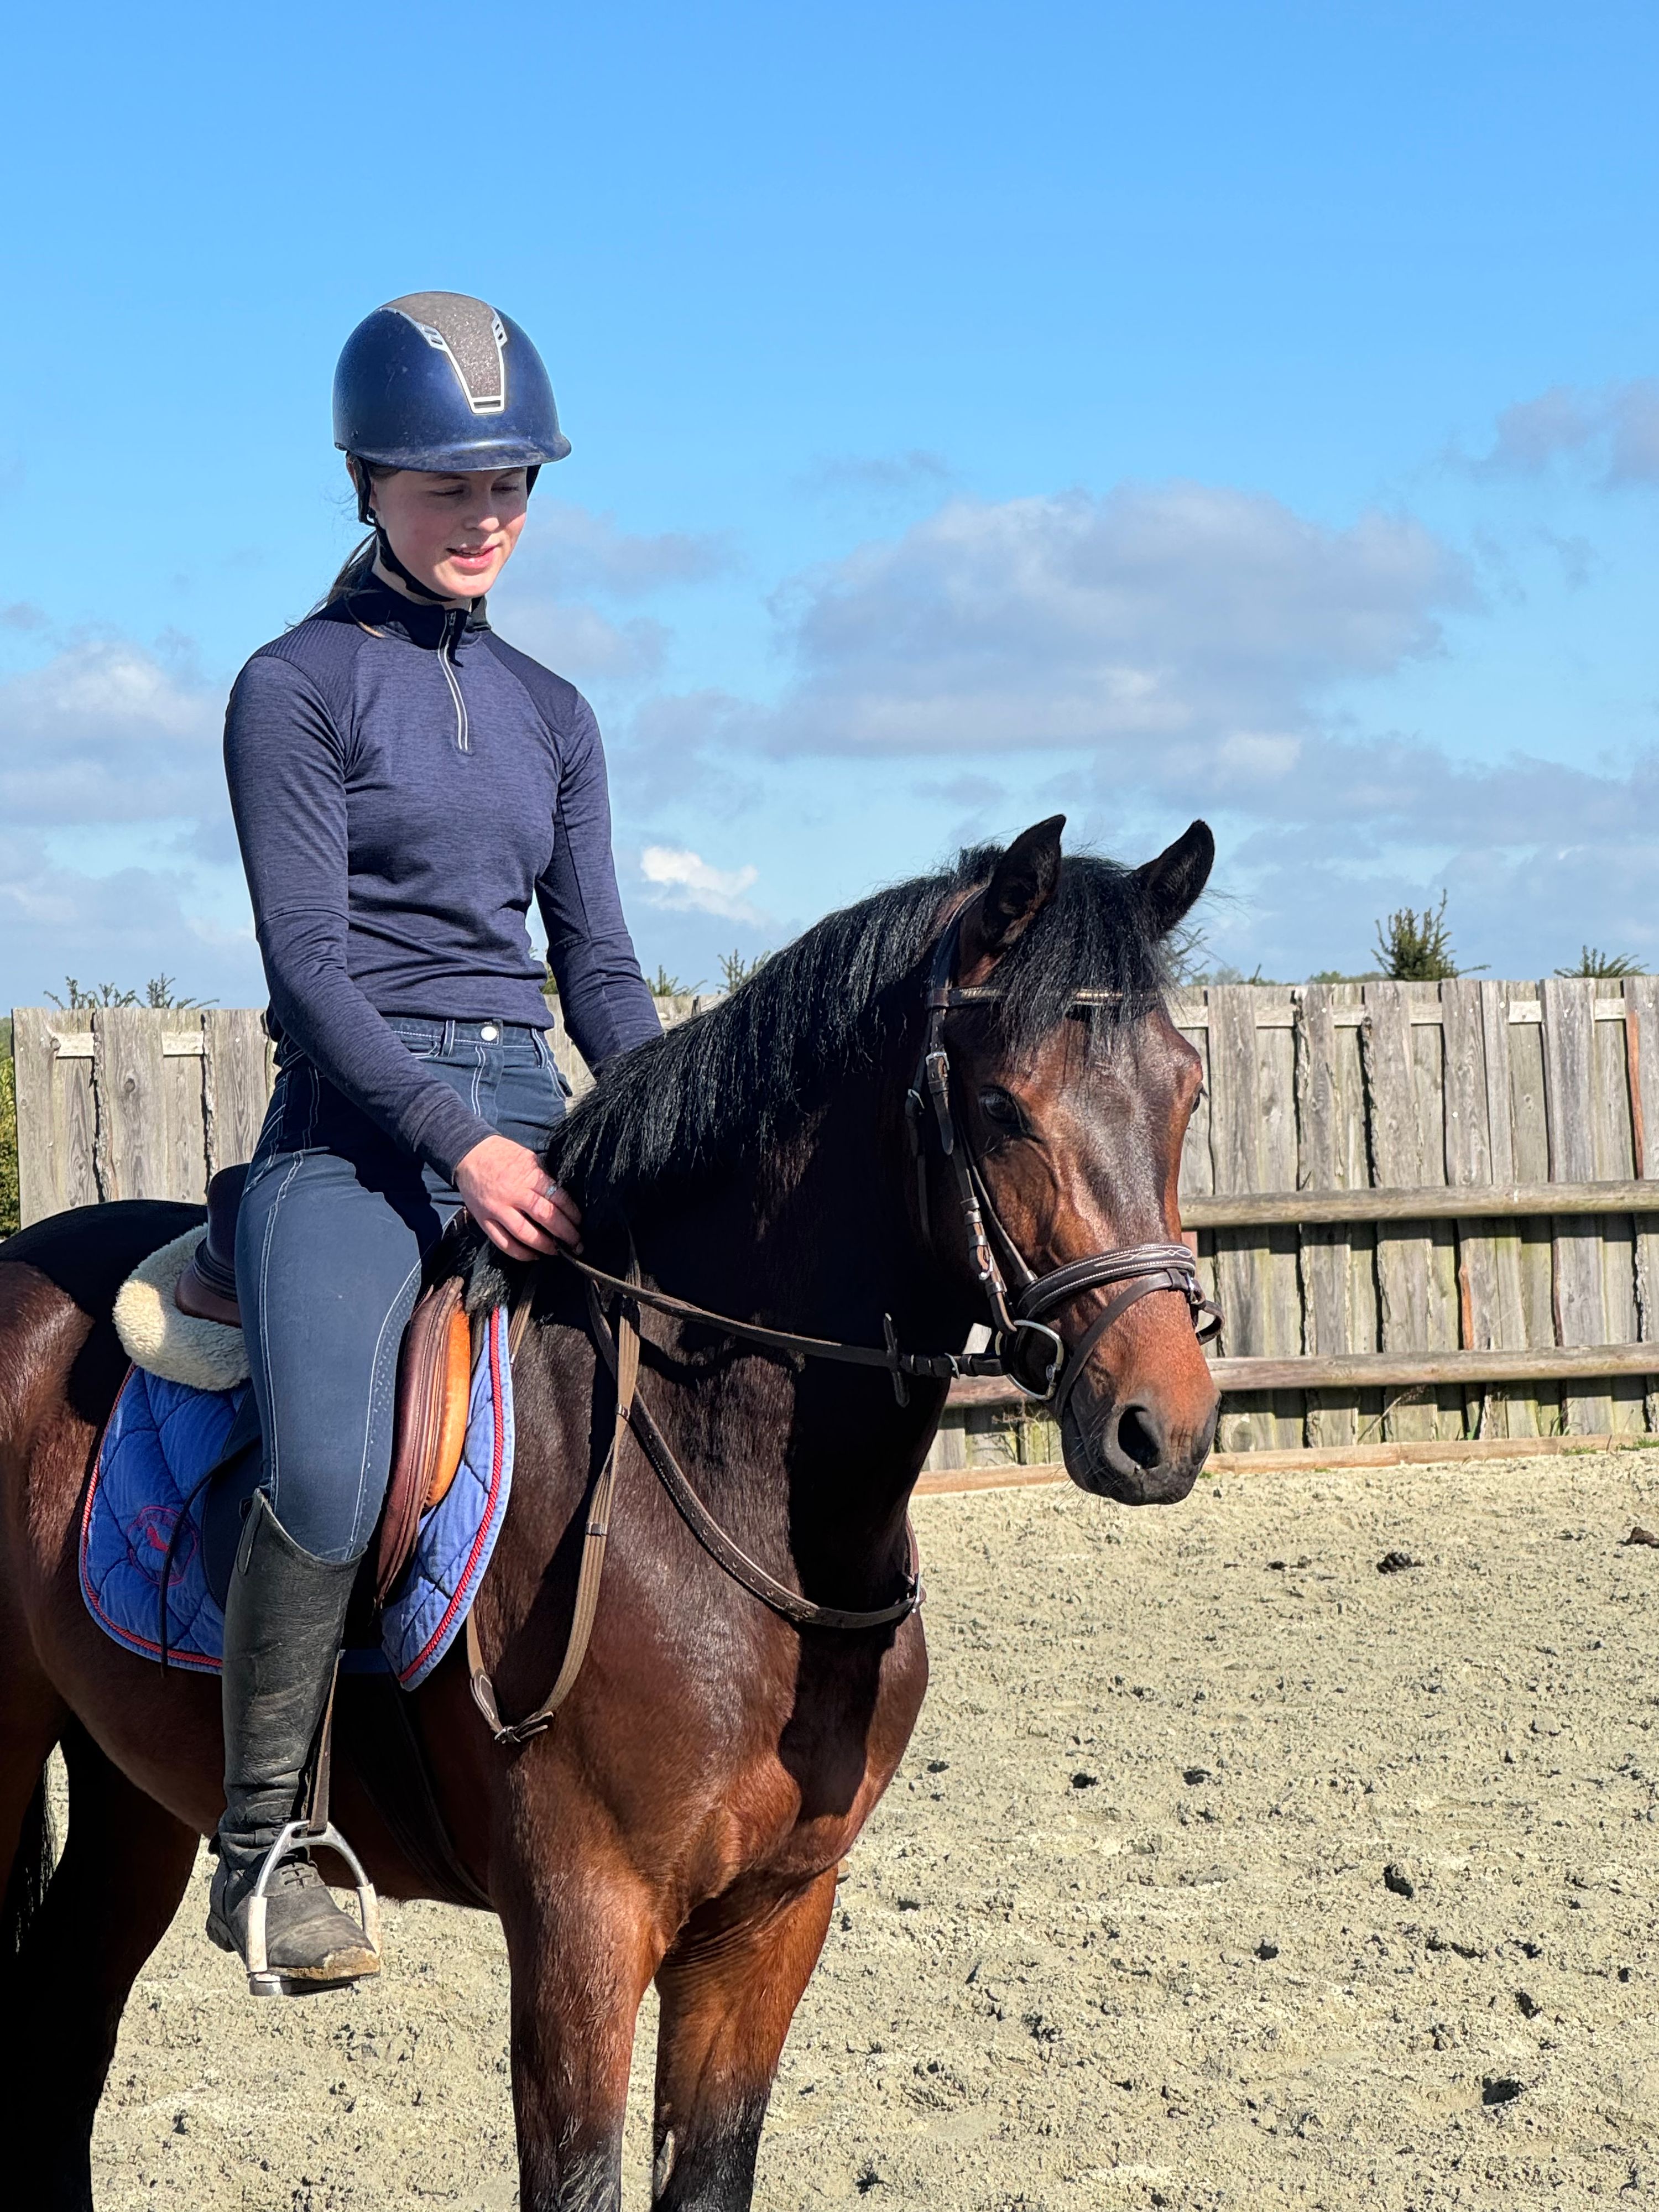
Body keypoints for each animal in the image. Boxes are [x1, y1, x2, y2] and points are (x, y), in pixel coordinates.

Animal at [0, 813, 1220, 2210]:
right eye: (1003, 1107)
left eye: (1186, 1089)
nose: (1162, 1424)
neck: (731, 1497)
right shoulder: (583, 1919)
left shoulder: (770, 1918)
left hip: (134, 1786)